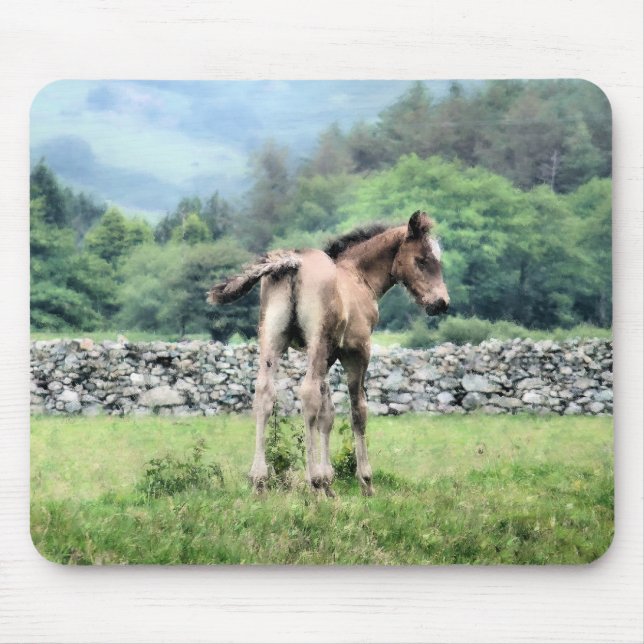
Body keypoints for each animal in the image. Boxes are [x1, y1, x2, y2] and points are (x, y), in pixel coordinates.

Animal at [207, 210, 449, 496]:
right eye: (422, 260)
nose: (441, 303)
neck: (358, 276)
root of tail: (293, 262)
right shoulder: (356, 351)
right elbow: (357, 410)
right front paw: (364, 481)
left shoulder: (327, 355)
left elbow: (327, 414)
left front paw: (328, 483)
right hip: (318, 340)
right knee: (308, 393)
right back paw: (311, 481)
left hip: (272, 338)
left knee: (265, 393)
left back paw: (259, 481)